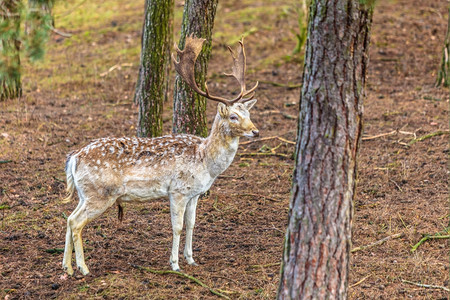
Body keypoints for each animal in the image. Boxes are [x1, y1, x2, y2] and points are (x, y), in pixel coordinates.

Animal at [62, 34, 260, 274]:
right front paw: (175, 264)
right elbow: (177, 227)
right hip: (101, 193)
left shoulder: (194, 193)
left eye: (248, 113)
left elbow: (191, 224)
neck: (205, 161)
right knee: (76, 222)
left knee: (69, 218)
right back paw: (83, 268)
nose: (255, 131)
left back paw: (66, 267)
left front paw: (191, 258)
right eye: (233, 116)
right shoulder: (178, 190)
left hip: (85, 192)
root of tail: (74, 158)